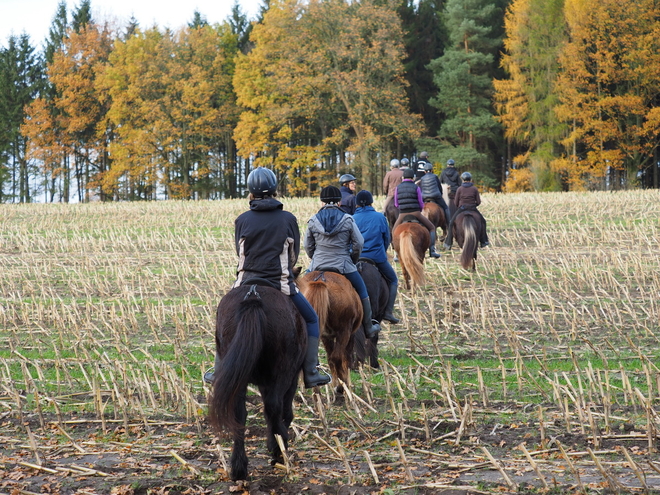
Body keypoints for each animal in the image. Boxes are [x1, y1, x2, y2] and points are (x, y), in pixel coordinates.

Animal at [208, 284, 306, 482]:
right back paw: (278, 451)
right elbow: (285, 412)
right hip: (282, 372)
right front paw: (277, 443)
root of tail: (253, 295)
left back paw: (238, 467)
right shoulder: (290, 378)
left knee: (238, 413)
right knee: (274, 406)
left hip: (239, 377)